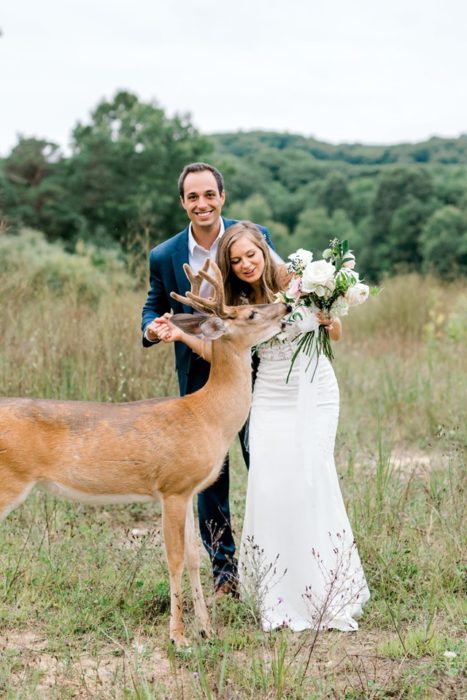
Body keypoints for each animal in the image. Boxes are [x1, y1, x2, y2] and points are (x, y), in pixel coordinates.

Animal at [0, 260, 288, 648]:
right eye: (251, 312)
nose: (285, 308)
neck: (208, 415)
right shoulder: (172, 487)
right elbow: (175, 559)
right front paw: (178, 637)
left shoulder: (189, 490)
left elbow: (194, 558)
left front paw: (206, 630)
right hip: (8, 481)